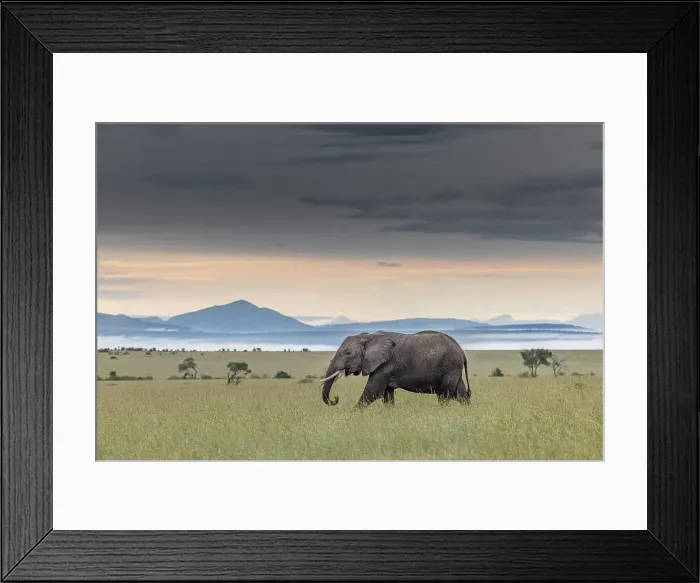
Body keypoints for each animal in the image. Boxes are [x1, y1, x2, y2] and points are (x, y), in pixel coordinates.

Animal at [320, 330, 472, 409]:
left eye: (348, 353)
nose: (336, 398)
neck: (368, 336)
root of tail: (461, 351)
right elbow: (387, 395)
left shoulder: (385, 365)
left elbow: (373, 392)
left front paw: (352, 415)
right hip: (453, 368)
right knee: (460, 393)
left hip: (449, 366)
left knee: (445, 394)